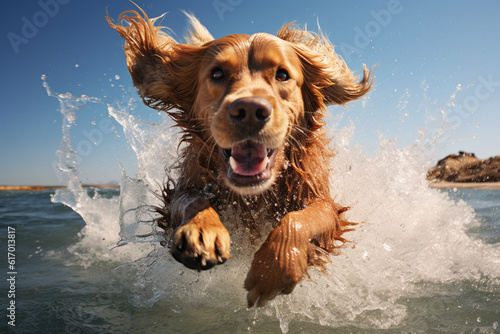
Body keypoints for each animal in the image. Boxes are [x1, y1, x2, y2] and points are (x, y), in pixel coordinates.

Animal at [109, 6, 374, 308]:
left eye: (282, 75)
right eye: (217, 74)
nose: (249, 111)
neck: (254, 195)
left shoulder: (321, 198)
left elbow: (300, 219)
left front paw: (275, 266)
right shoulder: (184, 187)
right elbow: (191, 200)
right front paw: (202, 231)